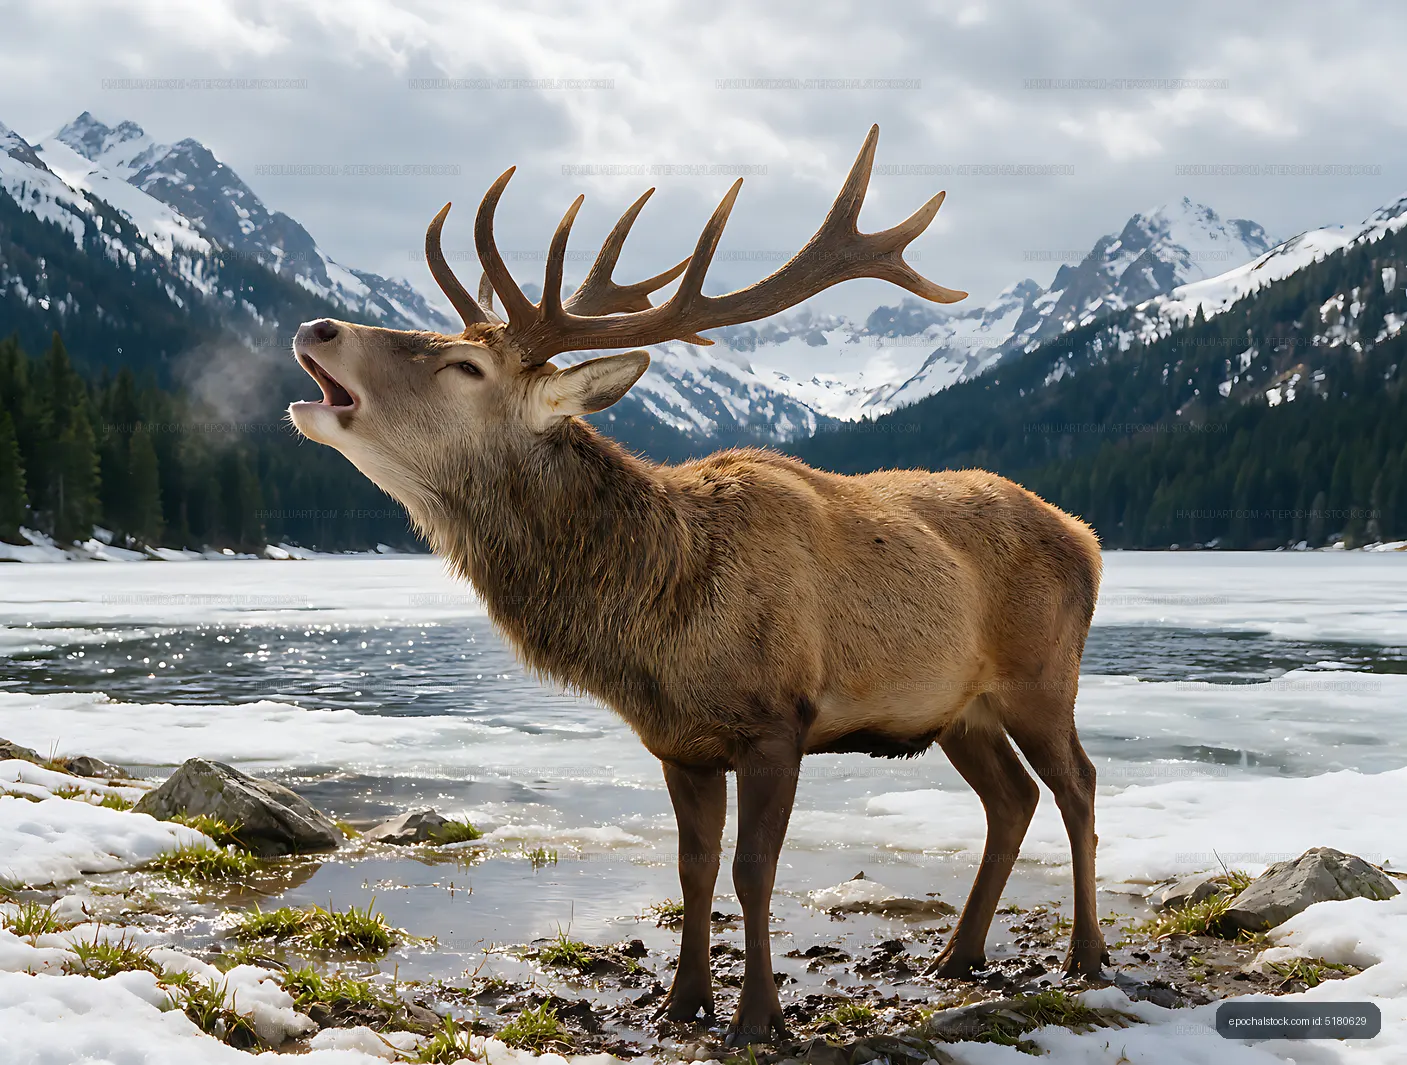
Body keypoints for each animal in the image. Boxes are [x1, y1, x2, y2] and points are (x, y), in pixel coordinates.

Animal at [287, 125, 1106, 1045]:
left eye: (465, 365)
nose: (317, 324)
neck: (658, 620)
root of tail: (1088, 538)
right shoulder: (678, 741)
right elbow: (693, 869)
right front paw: (680, 1004)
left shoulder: (778, 720)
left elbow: (754, 870)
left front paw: (757, 1017)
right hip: (959, 708)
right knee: (1011, 799)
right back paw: (957, 955)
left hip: (1042, 676)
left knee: (1076, 785)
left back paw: (1085, 955)